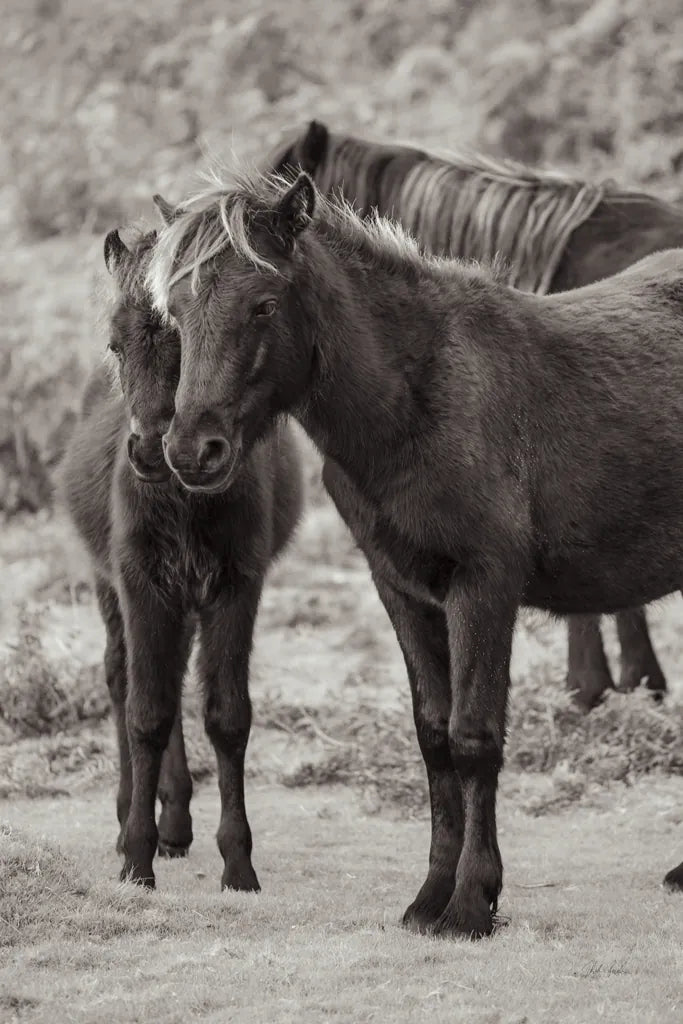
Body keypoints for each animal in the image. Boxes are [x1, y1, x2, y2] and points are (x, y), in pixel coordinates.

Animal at [58, 225, 303, 891]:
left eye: (183, 339)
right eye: (116, 346)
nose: (150, 450)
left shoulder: (235, 587)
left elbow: (225, 716)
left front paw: (237, 863)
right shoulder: (141, 583)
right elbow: (146, 713)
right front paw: (136, 858)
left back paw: (176, 823)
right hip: (114, 587)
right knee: (124, 678)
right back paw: (136, 819)